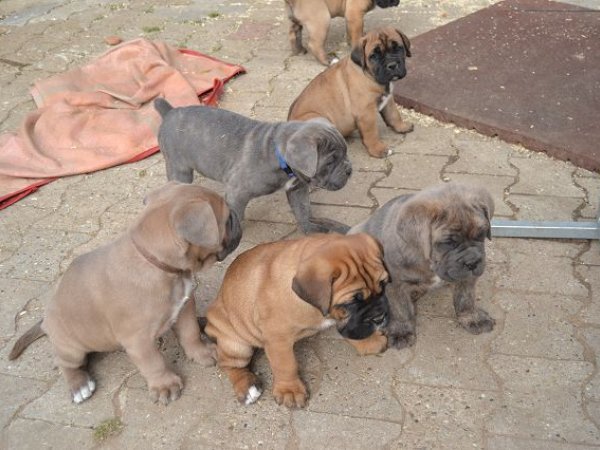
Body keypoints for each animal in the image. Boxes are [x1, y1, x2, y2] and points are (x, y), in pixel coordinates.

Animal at [8, 182, 242, 405]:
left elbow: (190, 333)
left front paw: (202, 352)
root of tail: (45, 321)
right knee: (66, 365)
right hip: (70, 347)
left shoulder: (184, 308)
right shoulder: (138, 340)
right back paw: (79, 386)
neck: (156, 263)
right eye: (227, 218)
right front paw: (164, 385)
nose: (237, 216)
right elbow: (154, 363)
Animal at [155, 99, 352, 234]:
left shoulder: (297, 189)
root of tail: (170, 112)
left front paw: (309, 227)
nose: (349, 170)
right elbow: (235, 214)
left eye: (346, 152)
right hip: (179, 168)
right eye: (330, 162)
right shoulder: (237, 192)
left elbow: (302, 209)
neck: (277, 154)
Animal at [204, 233, 390, 408]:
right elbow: (286, 364)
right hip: (235, 342)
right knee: (230, 365)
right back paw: (247, 386)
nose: (380, 316)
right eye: (351, 302)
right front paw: (290, 390)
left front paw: (369, 341)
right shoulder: (277, 338)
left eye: (383, 285)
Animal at [288, 27, 414, 158]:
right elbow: (372, 133)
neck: (369, 75)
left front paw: (402, 127)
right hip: (318, 118)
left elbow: (394, 115)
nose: (392, 65)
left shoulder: (388, 100)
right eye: (374, 56)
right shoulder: (366, 113)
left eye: (398, 48)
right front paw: (378, 149)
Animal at [349, 182, 495, 349]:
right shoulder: (395, 285)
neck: (428, 263)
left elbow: (466, 298)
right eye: (448, 242)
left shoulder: (466, 277)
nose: (473, 262)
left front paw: (472, 317)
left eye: (481, 234)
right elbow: (400, 309)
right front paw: (401, 331)